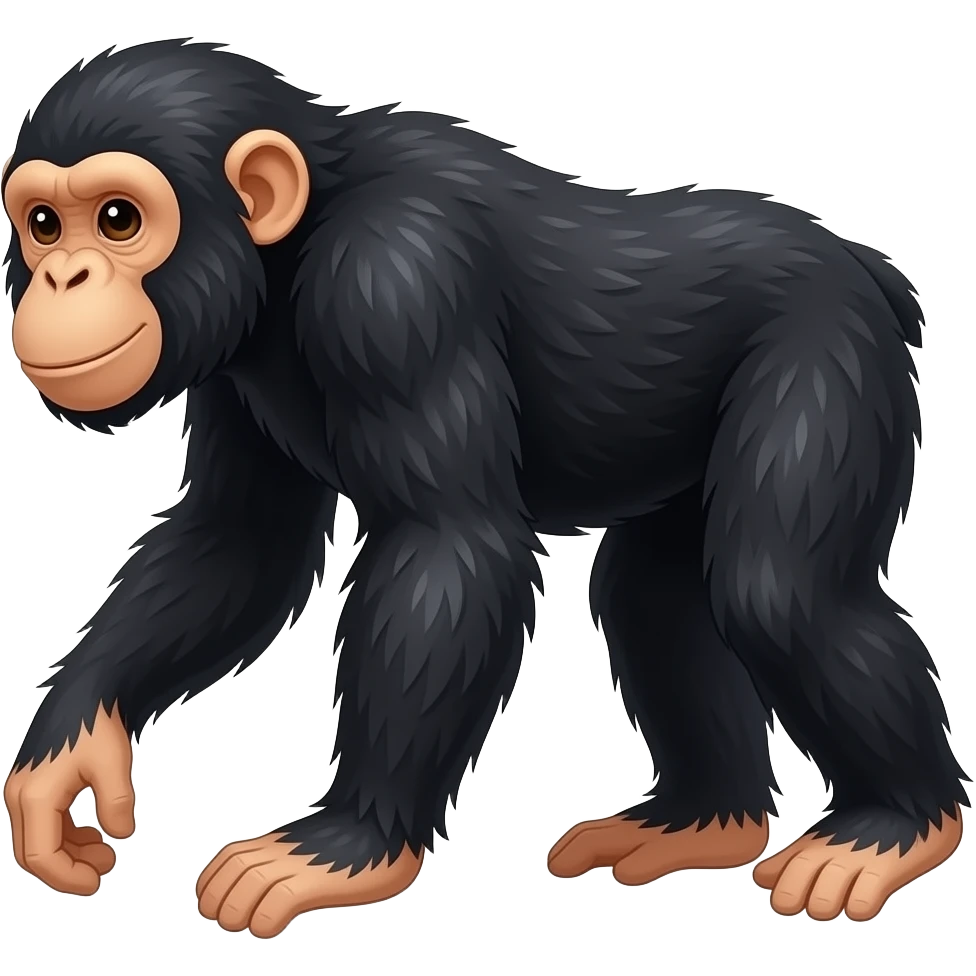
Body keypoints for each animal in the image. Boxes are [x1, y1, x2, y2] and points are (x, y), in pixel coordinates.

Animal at [0, 38, 967, 939]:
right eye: (43, 222)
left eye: (118, 218)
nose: (60, 275)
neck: (293, 247)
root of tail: (865, 265)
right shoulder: (232, 375)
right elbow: (234, 540)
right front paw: (66, 756)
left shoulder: (393, 286)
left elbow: (448, 542)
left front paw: (343, 847)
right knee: (650, 593)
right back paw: (701, 823)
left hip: (828, 360)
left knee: (782, 592)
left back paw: (894, 827)